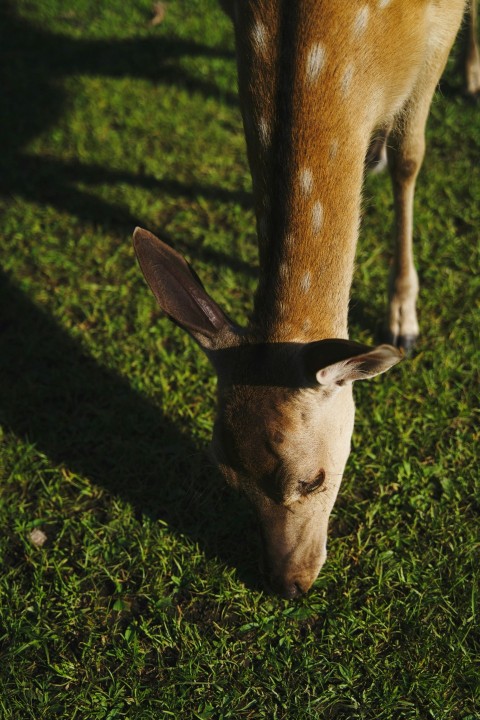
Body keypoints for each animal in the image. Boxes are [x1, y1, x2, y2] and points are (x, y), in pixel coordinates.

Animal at [133, 0, 470, 598]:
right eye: (227, 472)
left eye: (314, 480)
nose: (288, 583)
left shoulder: (442, 28)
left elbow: (410, 158)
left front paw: (403, 316)